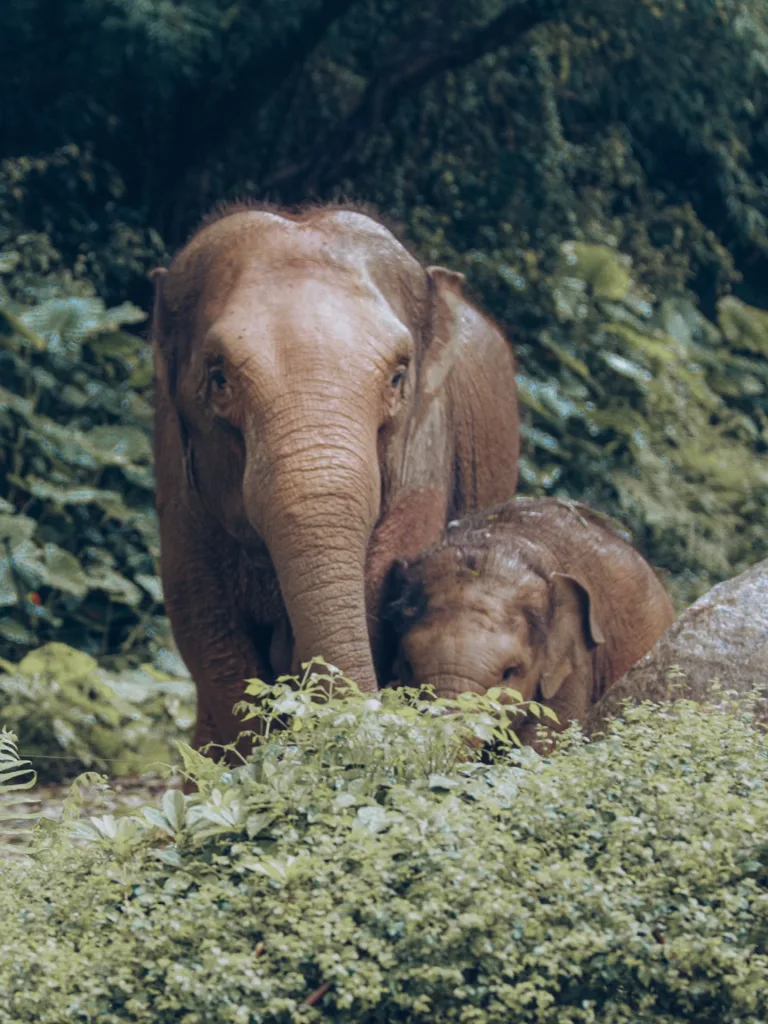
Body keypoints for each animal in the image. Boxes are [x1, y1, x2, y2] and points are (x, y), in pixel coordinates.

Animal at [150, 201, 520, 755]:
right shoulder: (175, 472)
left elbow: (377, 584)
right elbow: (203, 619)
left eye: (399, 376)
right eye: (218, 379)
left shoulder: (425, 449)